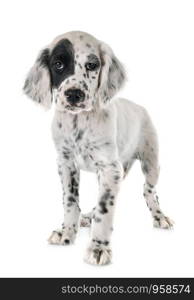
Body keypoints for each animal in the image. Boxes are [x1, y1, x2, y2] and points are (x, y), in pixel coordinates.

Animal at [23, 30, 173, 264]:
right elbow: (70, 201)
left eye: (92, 65)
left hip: (151, 162)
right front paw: (67, 232)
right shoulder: (66, 164)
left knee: (149, 191)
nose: (74, 94)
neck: (79, 124)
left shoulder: (109, 168)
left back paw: (160, 217)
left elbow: (105, 209)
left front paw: (98, 247)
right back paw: (87, 216)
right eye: (58, 64)